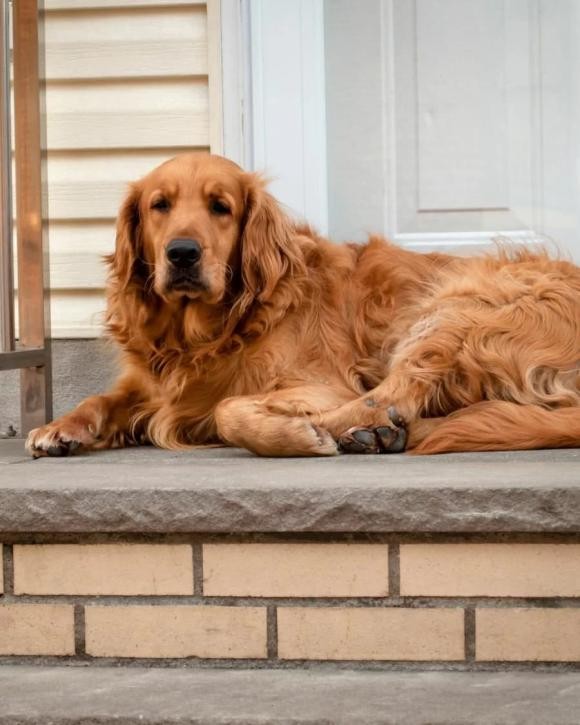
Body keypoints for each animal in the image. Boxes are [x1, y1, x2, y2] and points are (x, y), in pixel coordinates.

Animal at [26, 151, 580, 458]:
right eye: (159, 205)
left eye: (221, 208)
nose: (182, 253)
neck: (212, 332)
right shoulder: (147, 383)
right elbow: (101, 399)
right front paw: (58, 429)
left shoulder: (320, 383)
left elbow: (228, 407)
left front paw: (293, 429)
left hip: (456, 306)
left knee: (389, 395)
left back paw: (360, 431)